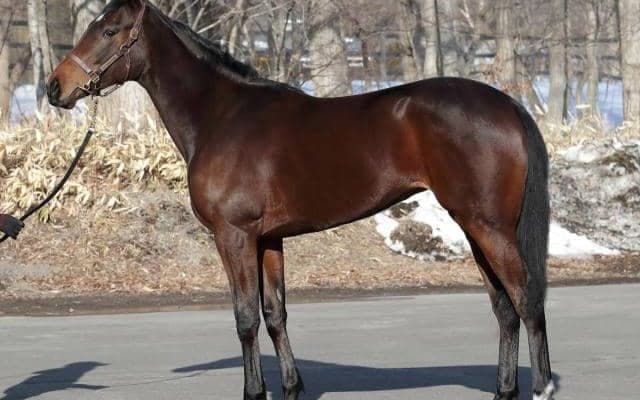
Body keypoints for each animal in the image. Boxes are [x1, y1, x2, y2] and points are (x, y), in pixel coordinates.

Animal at [47, 1, 554, 399]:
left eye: (109, 31)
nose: (55, 87)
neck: (221, 116)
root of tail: (508, 106)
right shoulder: (269, 239)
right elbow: (276, 314)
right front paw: (291, 386)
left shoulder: (234, 237)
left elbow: (246, 317)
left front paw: (254, 391)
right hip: (474, 226)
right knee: (505, 308)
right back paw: (505, 389)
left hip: (488, 226)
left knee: (526, 301)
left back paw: (541, 387)